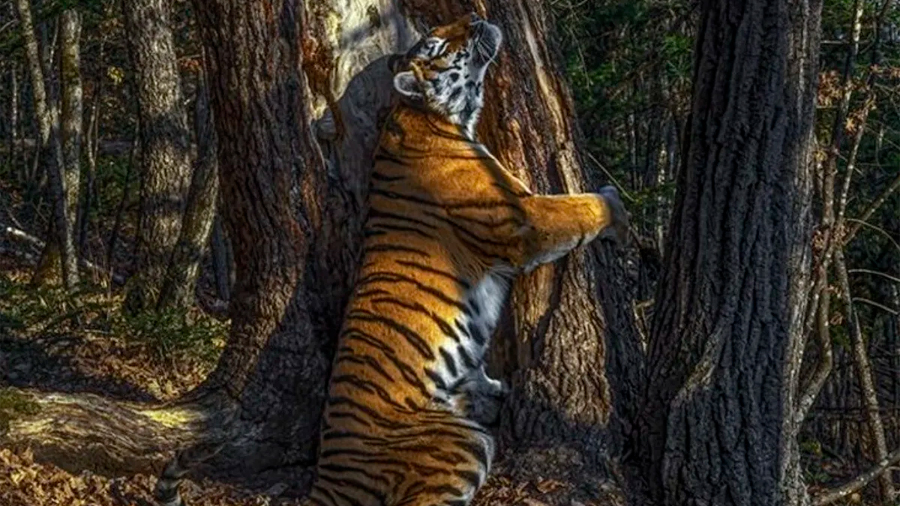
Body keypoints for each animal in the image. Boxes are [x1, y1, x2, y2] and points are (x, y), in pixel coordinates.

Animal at [155, 10, 628, 506]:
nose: (474, 15)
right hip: (462, 442)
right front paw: (618, 209)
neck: (431, 116)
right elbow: (576, 208)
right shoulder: (520, 219)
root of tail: (329, 478)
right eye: (438, 45)